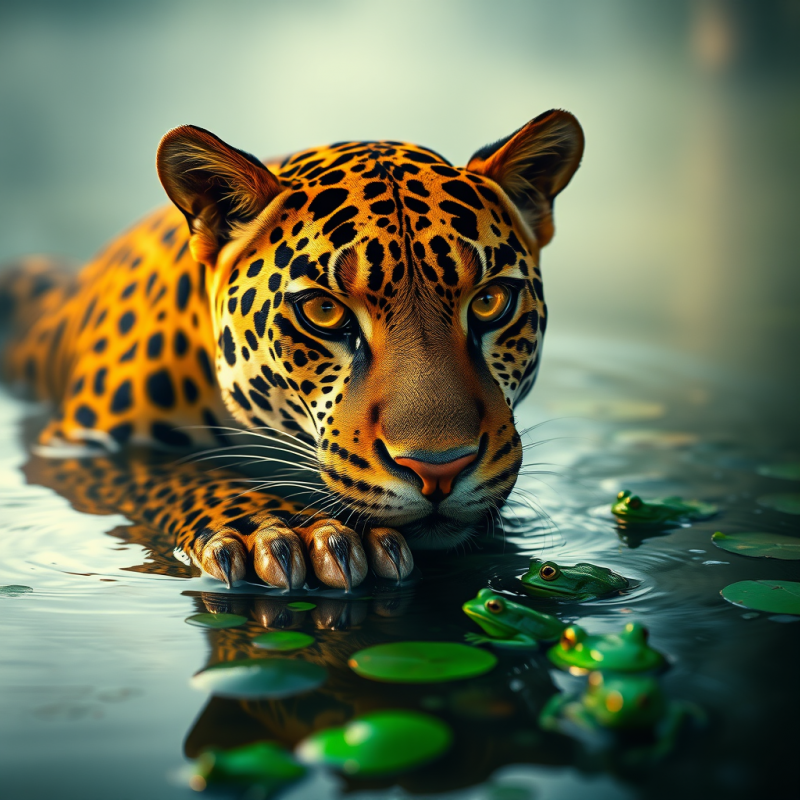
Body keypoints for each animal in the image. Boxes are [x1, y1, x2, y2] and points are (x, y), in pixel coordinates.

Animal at [1, 110, 584, 591]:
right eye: (324, 311)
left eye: (489, 301)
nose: (439, 469)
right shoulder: (75, 448)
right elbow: (174, 472)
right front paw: (285, 534)